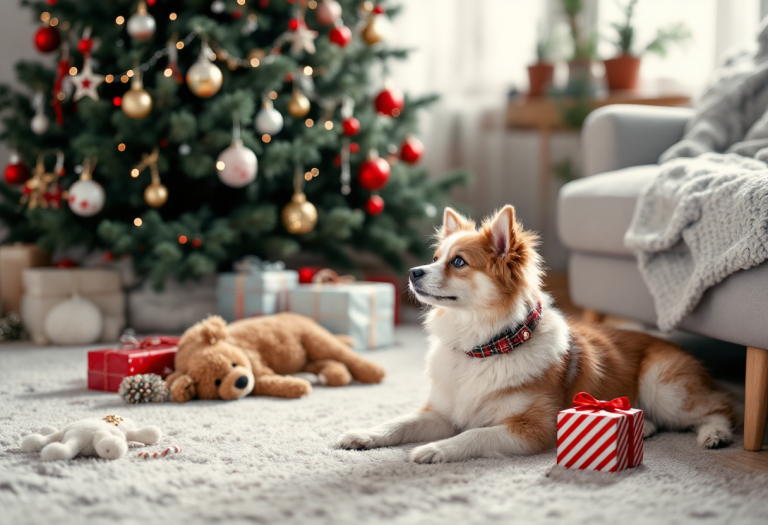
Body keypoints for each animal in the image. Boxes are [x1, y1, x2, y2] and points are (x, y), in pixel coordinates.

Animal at [338, 205, 736, 462]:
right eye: (435, 258)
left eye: (458, 262)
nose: (413, 272)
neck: (485, 347)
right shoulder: (441, 413)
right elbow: (399, 423)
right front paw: (363, 434)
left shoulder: (533, 428)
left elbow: (474, 434)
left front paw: (435, 450)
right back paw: (650, 428)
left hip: (664, 388)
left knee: (720, 405)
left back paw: (715, 434)